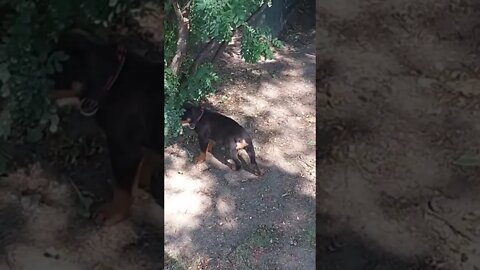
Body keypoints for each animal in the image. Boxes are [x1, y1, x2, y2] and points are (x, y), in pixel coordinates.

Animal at [50, 29, 163, 226]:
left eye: (54, 74)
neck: (112, 82)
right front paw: (142, 184)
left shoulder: (124, 149)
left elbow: (121, 188)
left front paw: (113, 213)